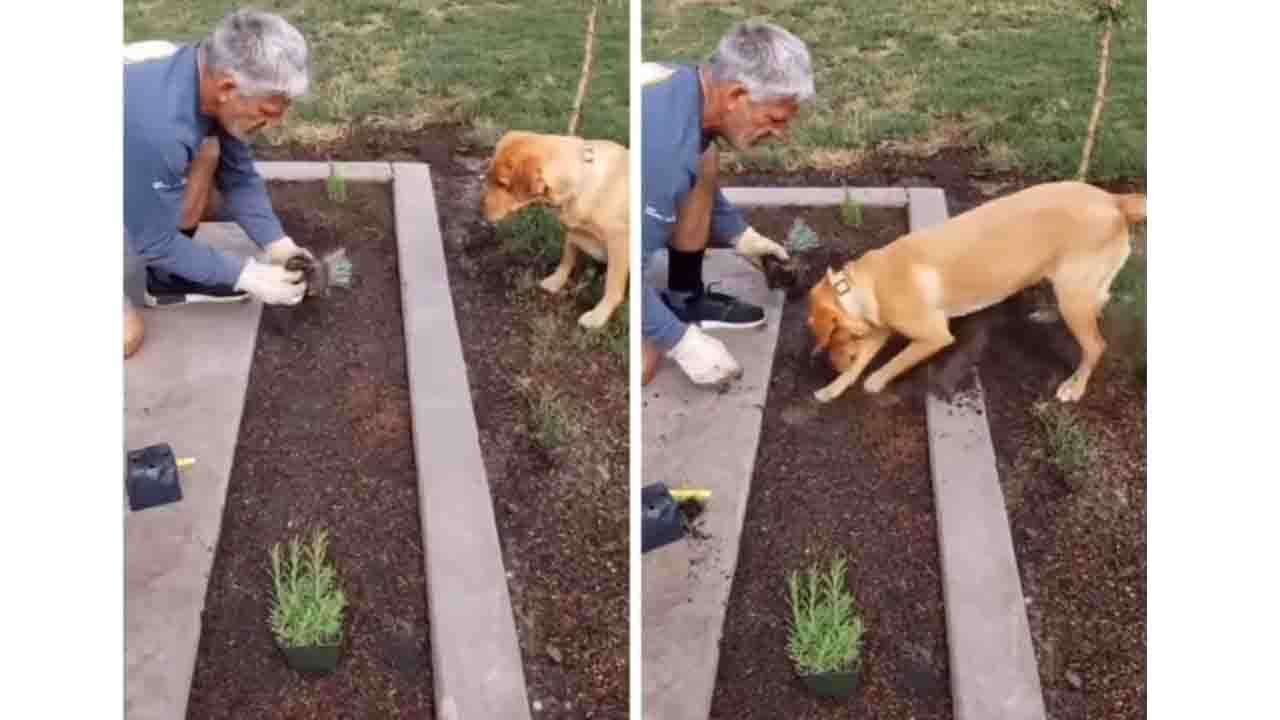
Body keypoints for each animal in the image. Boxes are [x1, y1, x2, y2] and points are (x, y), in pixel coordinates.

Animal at [481, 130, 629, 326]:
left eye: (502, 184)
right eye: (489, 177)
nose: (481, 210)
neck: (580, 184)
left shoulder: (619, 243)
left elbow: (612, 285)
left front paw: (599, 315)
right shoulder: (572, 231)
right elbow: (566, 259)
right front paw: (556, 281)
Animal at [803, 179, 1146, 404]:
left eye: (830, 340)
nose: (830, 367)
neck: (865, 285)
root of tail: (1114, 200)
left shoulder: (933, 337)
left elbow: (896, 361)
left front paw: (875, 381)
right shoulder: (878, 329)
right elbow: (860, 362)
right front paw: (835, 387)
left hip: (1075, 297)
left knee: (1096, 346)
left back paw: (1075, 387)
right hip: (1073, 290)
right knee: (1096, 306)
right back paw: (1049, 314)